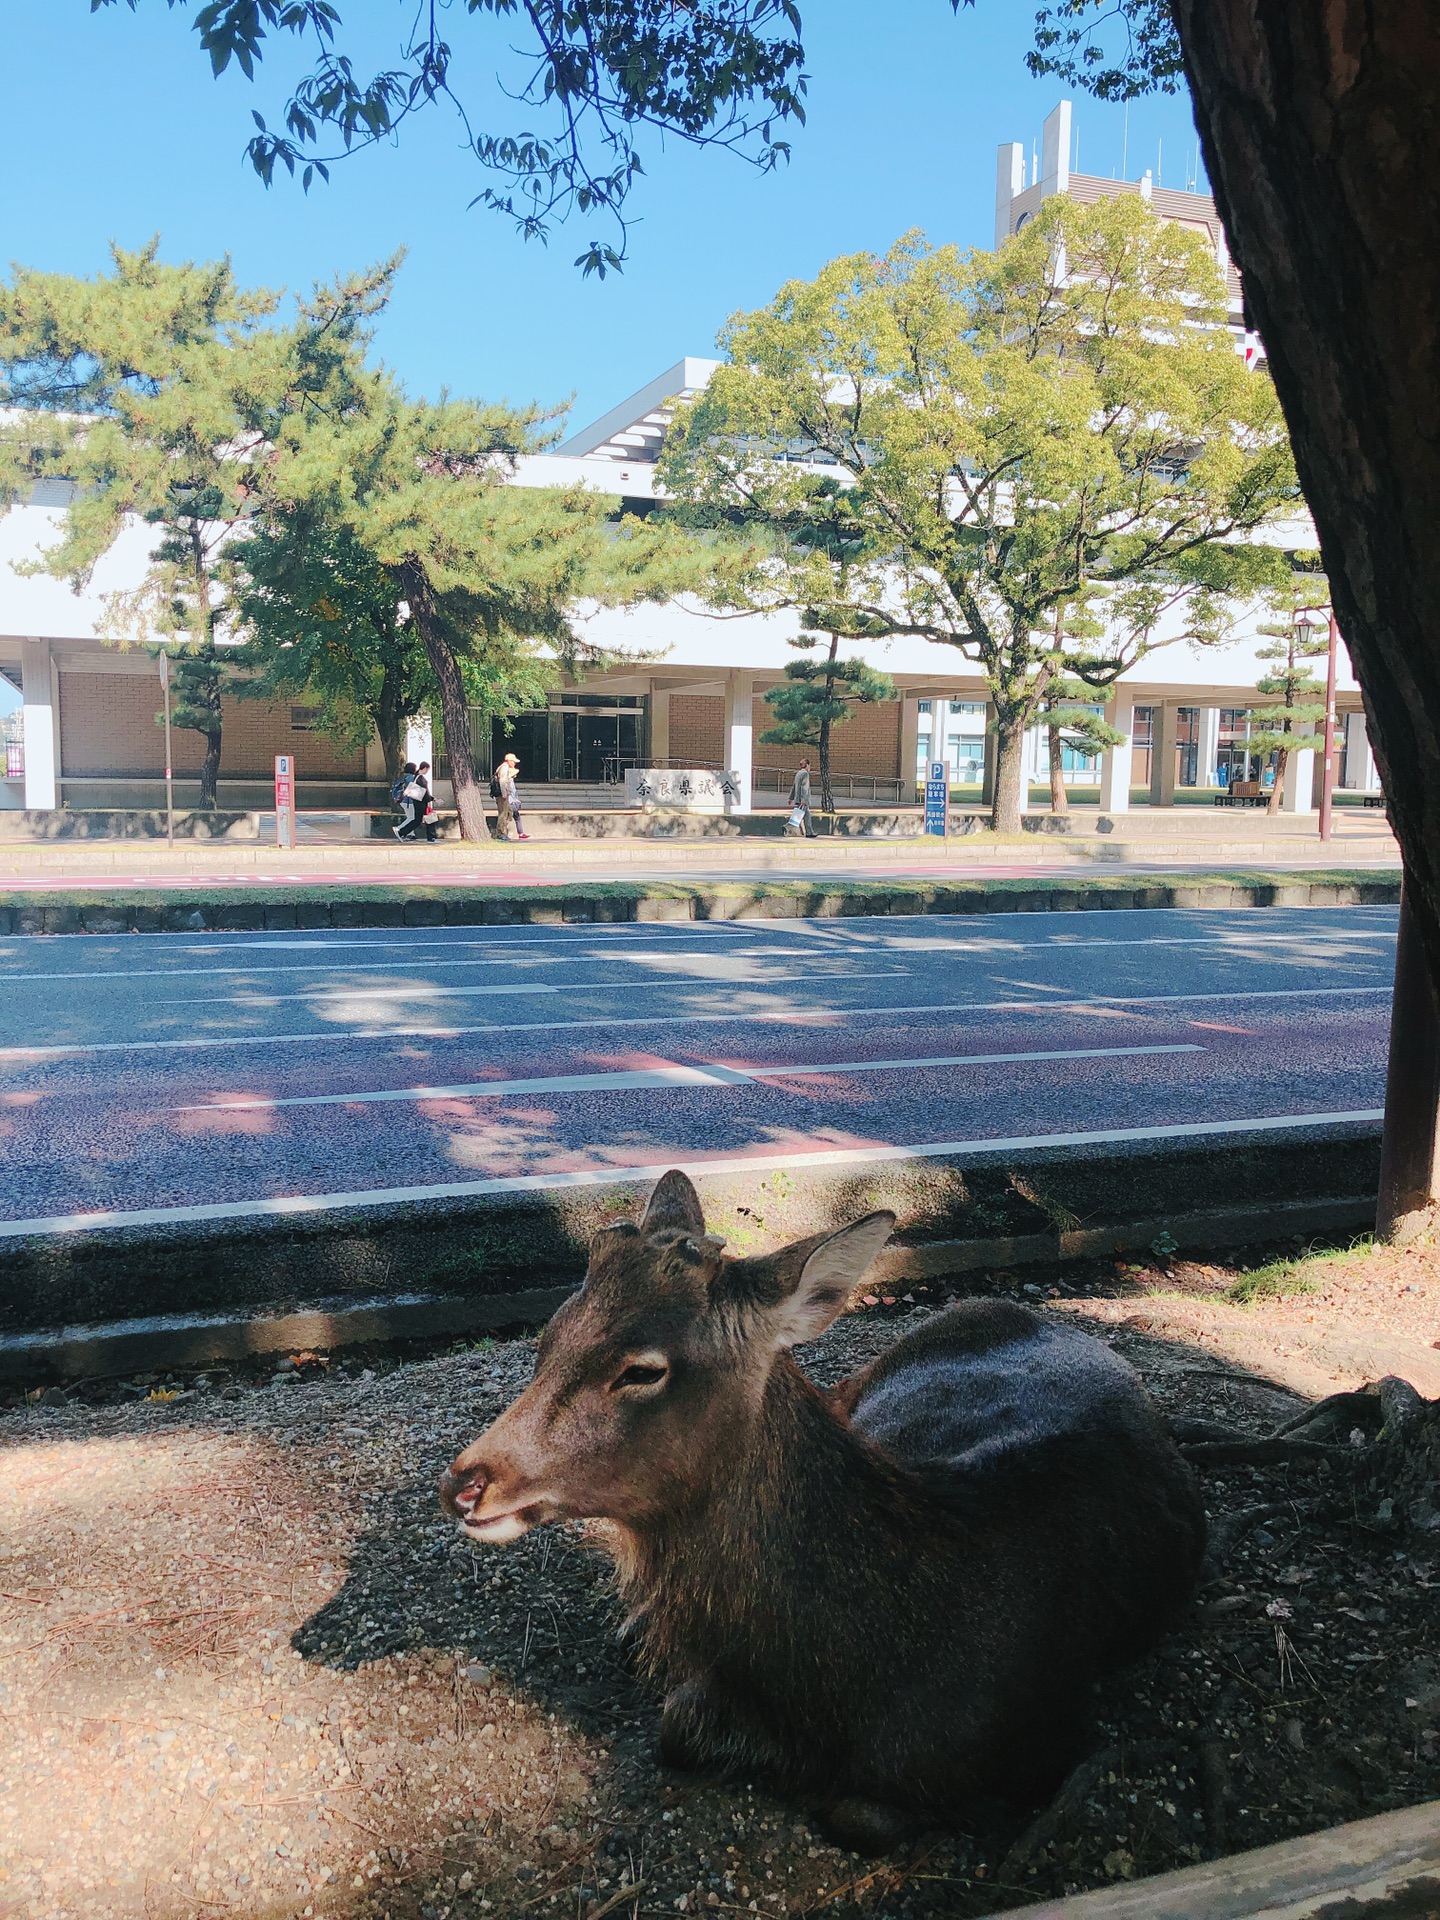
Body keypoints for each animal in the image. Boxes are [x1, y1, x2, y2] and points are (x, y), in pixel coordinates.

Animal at [439, 1159, 1205, 1850]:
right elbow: (677, 1724)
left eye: (643, 1369)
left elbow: (858, 1815)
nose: (465, 1485)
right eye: (549, 1334)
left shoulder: (1053, 1740)